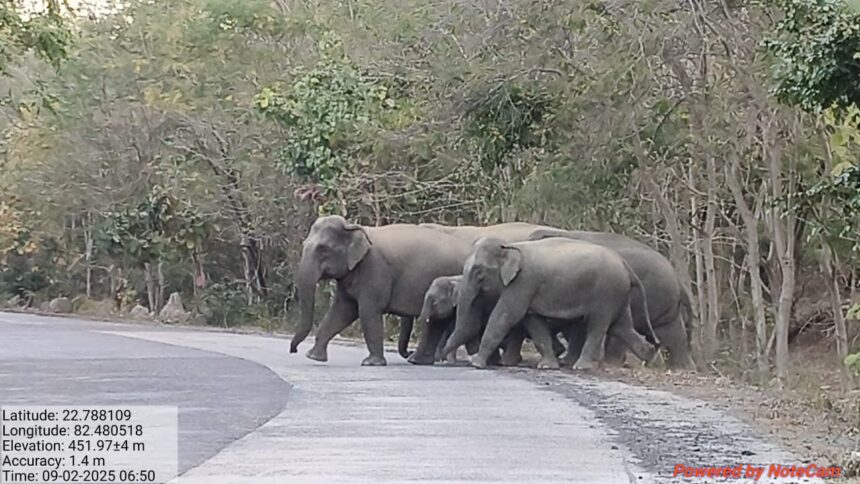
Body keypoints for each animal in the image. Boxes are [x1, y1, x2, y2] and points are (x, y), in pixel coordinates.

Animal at [288, 217, 470, 364]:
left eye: (323, 249)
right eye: (304, 245)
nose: (293, 350)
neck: (355, 227)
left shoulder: (374, 268)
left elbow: (367, 311)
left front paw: (371, 363)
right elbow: (342, 310)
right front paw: (313, 357)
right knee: (438, 322)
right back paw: (419, 361)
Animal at [444, 236, 660, 368]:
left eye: (479, 272)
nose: (442, 361)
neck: (511, 245)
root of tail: (625, 264)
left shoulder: (524, 283)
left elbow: (505, 316)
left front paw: (477, 363)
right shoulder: (530, 289)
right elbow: (533, 321)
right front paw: (547, 366)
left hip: (606, 292)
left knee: (598, 324)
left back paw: (581, 366)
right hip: (618, 295)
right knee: (622, 326)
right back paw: (650, 354)